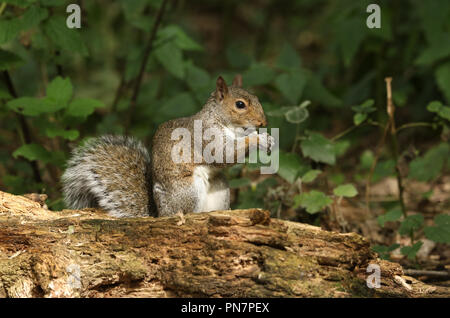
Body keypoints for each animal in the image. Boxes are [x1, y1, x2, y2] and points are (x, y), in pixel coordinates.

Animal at [62, 76, 274, 217]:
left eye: (257, 98)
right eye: (240, 105)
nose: (263, 122)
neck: (223, 122)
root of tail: (161, 212)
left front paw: (267, 139)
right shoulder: (205, 135)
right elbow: (224, 154)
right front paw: (257, 139)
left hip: (219, 187)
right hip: (189, 189)